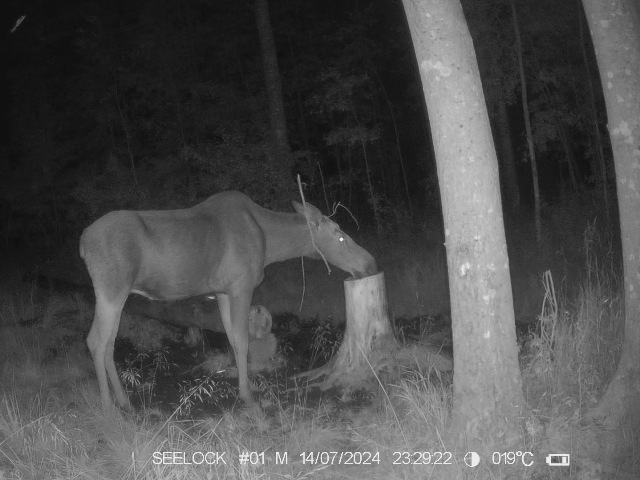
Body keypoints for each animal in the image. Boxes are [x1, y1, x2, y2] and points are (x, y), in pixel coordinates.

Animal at [79, 191, 377, 410]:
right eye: (340, 235)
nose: (370, 262)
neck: (270, 243)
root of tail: (82, 243)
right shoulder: (240, 285)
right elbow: (243, 339)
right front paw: (248, 397)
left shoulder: (223, 291)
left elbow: (233, 338)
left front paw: (246, 386)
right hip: (111, 288)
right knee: (95, 340)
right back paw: (108, 408)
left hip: (118, 293)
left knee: (109, 342)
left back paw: (124, 401)